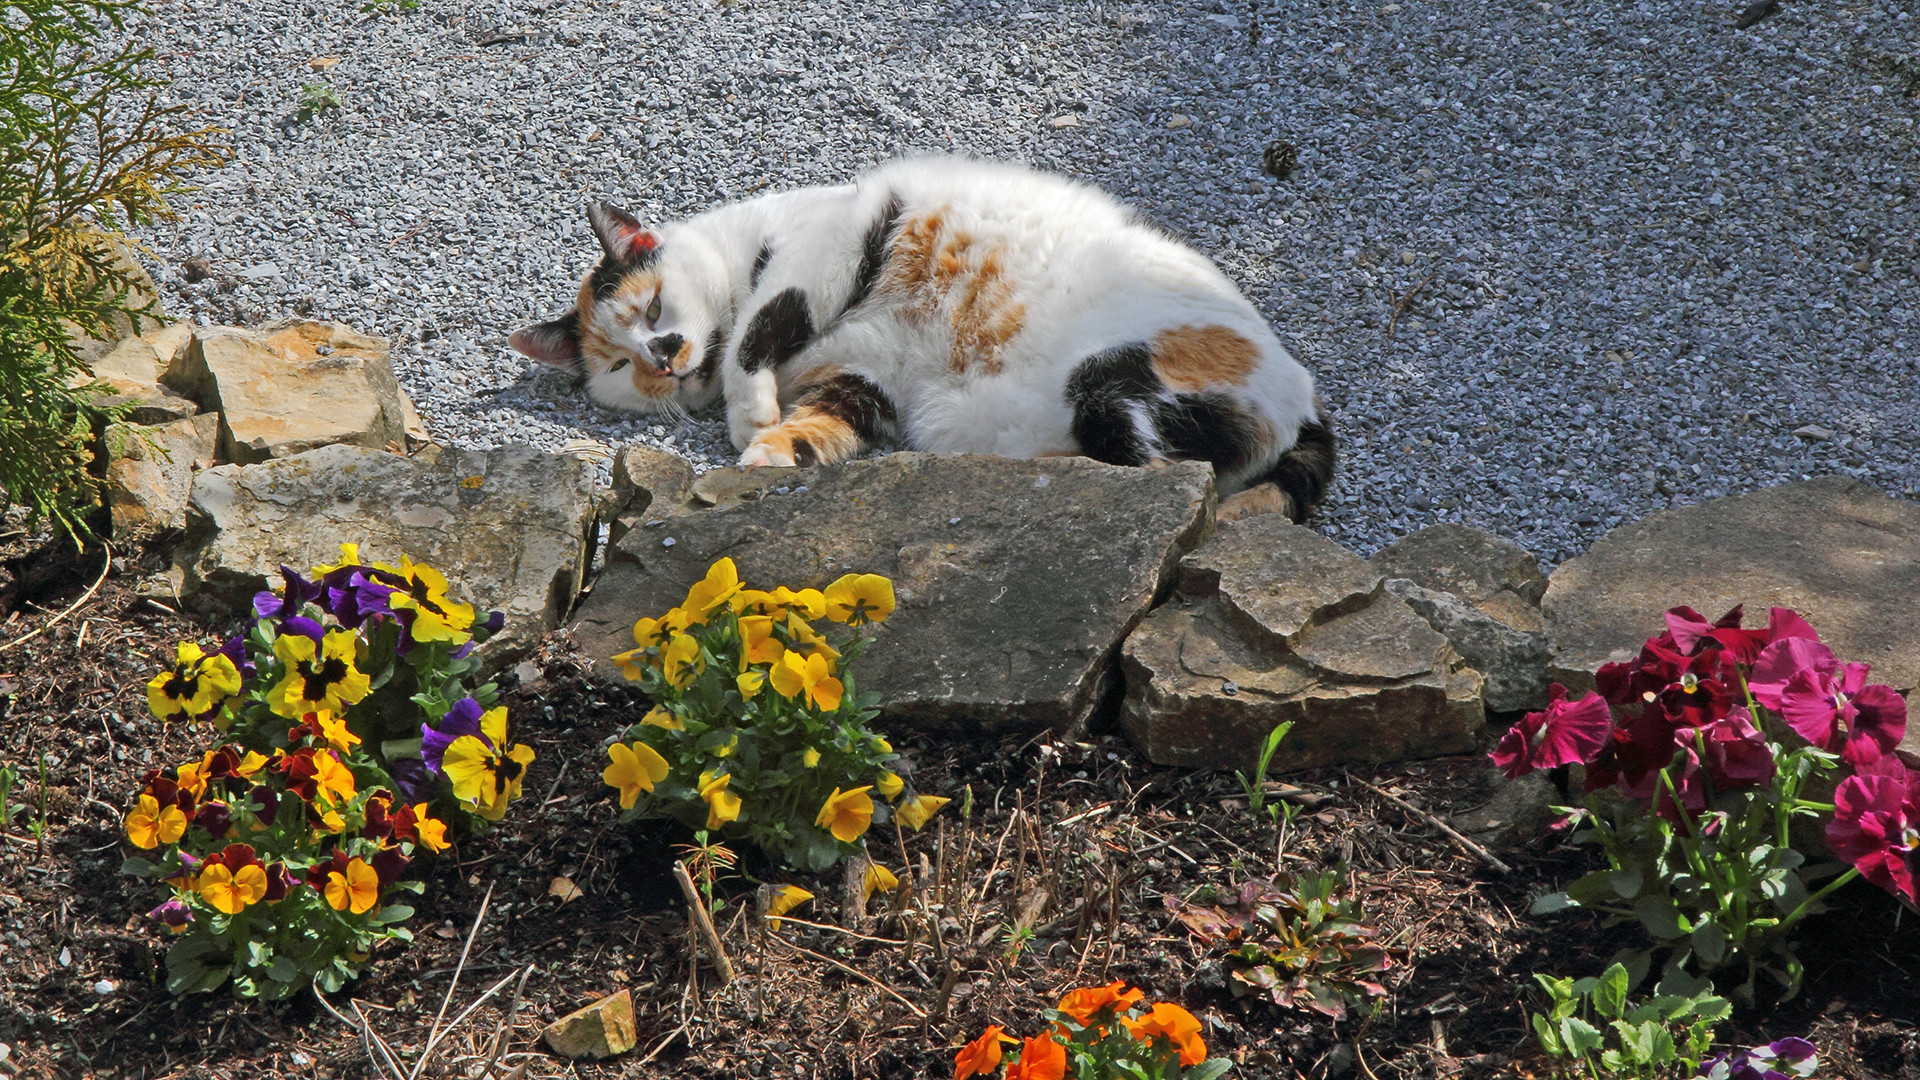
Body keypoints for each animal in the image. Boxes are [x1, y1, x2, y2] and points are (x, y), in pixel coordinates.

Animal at [510, 154, 1336, 518]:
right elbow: (821, 427)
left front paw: (750, 416)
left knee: (1169, 475)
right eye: (617, 368)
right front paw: (772, 453)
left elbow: (755, 332)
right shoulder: (867, 381)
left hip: (1113, 381)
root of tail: (1307, 403)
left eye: (652, 310)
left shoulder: (829, 247)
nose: (661, 354)